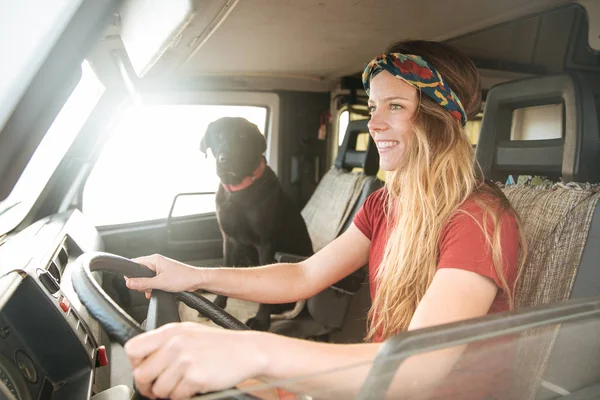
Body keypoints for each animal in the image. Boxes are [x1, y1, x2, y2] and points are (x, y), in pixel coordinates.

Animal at [202, 116, 314, 332]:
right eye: (218, 135)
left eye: (242, 135)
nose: (226, 159)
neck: (238, 191)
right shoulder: (229, 240)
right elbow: (226, 267)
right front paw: (218, 305)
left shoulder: (265, 243)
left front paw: (262, 320)